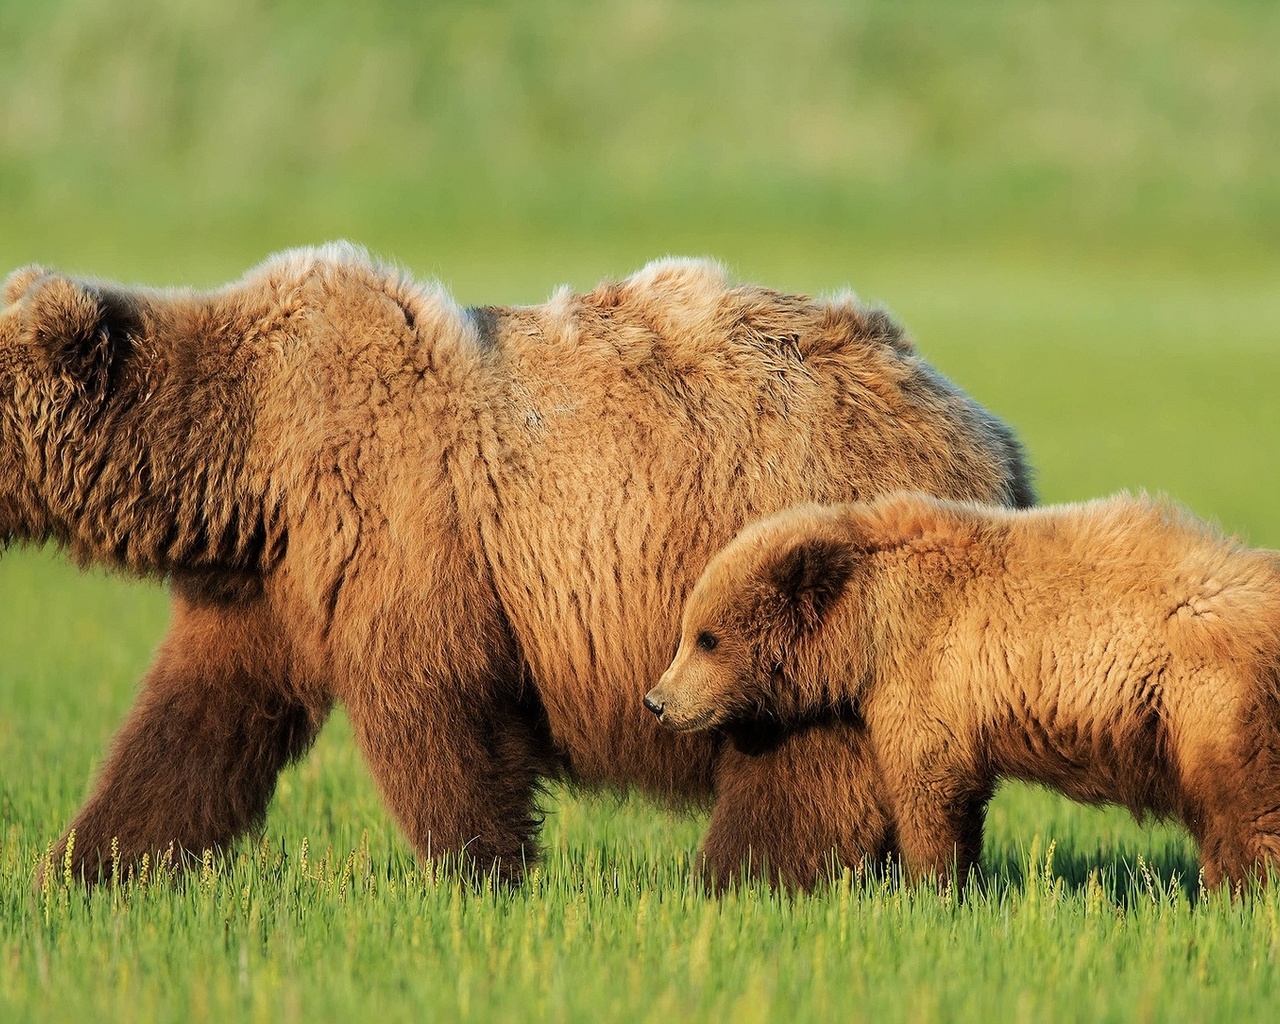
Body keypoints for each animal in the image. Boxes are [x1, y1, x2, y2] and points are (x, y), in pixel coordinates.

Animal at [0, 244, 1029, 885]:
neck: (249, 458)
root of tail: (993, 435)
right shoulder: (268, 585)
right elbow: (195, 726)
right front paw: (86, 867)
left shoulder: (397, 519)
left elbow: (434, 707)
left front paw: (482, 875)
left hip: (800, 571)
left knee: (802, 757)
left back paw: (736, 877)